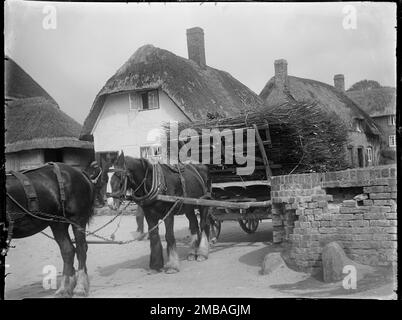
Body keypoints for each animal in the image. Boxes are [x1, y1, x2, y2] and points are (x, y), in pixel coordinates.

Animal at [5, 164, 95, 296]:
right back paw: (64, 288)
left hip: (78, 219)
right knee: (68, 251)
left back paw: (80, 287)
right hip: (58, 223)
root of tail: (78, 171)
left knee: (81, 249)